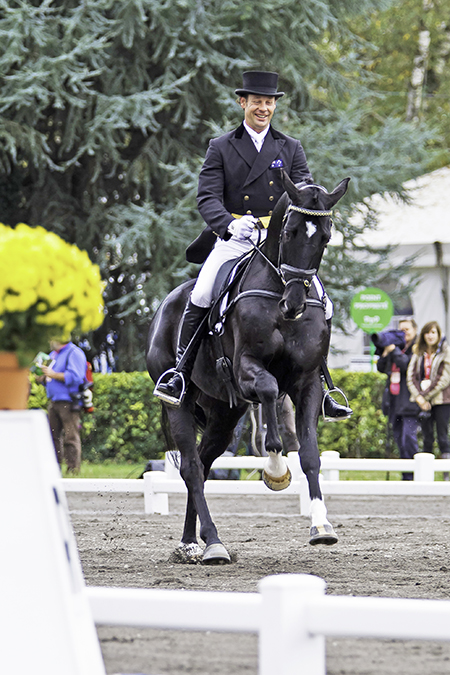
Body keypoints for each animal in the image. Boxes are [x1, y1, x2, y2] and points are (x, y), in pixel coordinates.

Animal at [146, 173, 350, 564]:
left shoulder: (306, 383)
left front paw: (321, 526)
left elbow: (311, 455)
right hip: (180, 402)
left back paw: (191, 542)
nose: (294, 305)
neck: (276, 295)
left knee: (203, 465)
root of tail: (166, 304)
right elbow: (269, 392)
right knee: (191, 467)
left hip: (224, 414)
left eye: (325, 236)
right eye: (289, 232)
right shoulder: (246, 370)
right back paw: (213, 544)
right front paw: (275, 469)